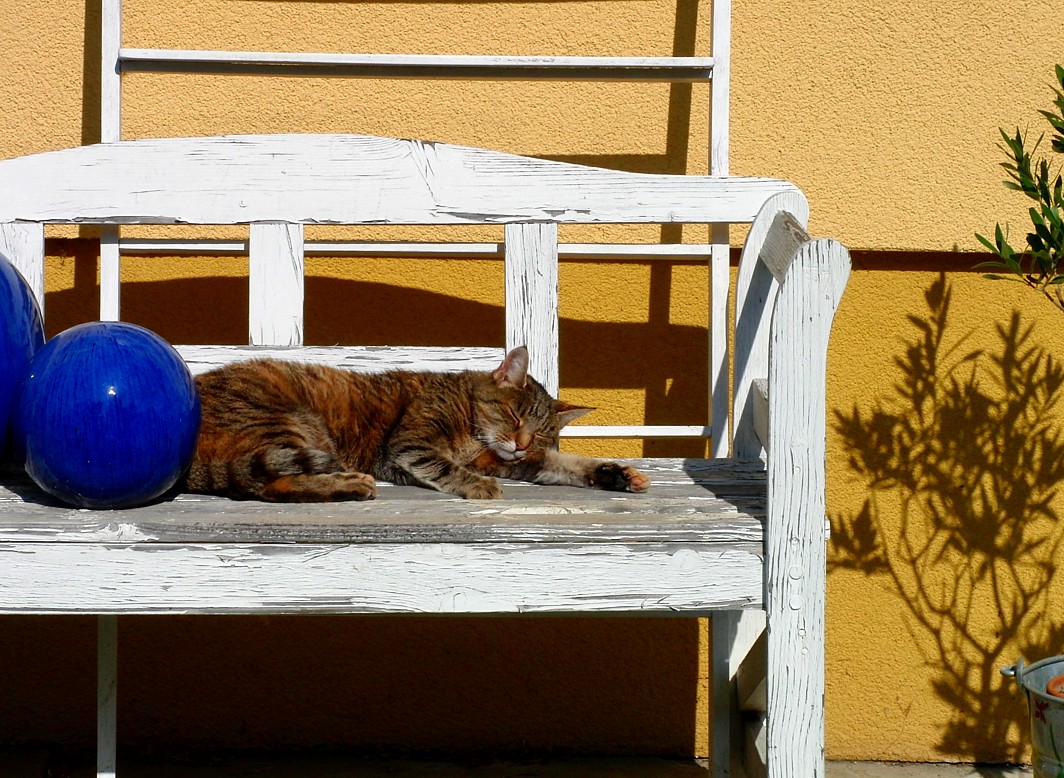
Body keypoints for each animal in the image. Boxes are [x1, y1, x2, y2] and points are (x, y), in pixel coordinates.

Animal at [188, 349, 651, 504]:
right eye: (515, 416)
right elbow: (445, 467)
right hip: (289, 421)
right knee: (266, 486)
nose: (520, 443)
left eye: (539, 432)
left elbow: (563, 464)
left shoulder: (510, 460)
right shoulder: (409, 447)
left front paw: (615, 474)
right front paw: (478, 487)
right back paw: (349, 484)